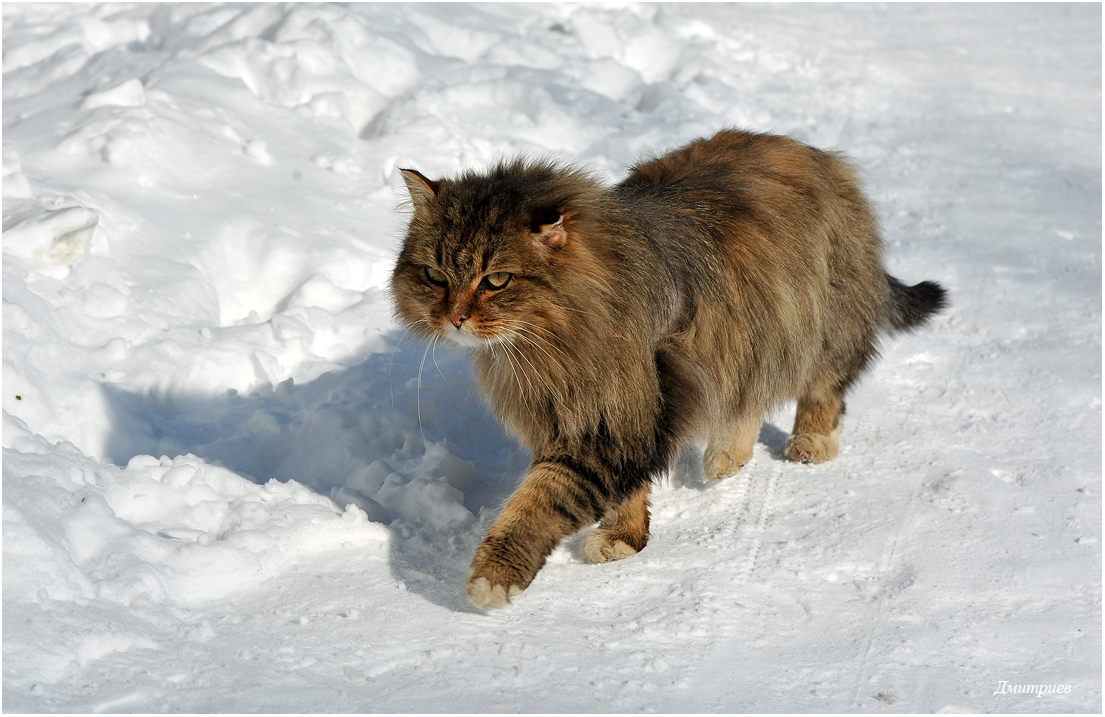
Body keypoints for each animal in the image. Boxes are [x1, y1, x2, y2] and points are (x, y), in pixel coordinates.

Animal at [388, 129, 941, 609]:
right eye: (434, 275)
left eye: (496, 280)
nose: (454, 318)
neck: (544, 342)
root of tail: (821, 156)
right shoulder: (620, 414)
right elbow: (627, 488)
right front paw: (626, 538)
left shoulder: (614, 418)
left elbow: (536, 504)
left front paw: (494, 575)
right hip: (748, 340)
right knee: (746, 396)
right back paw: (726, 457)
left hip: (818, 324)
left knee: (825, 388)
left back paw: (808, 444)